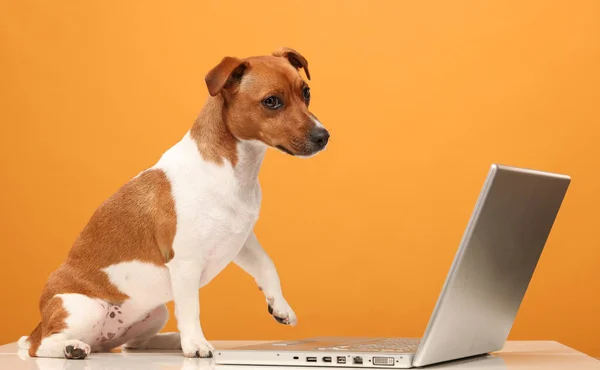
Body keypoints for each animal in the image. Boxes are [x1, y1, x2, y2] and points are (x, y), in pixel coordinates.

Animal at [18, 47, 330, 360]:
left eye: (306, 93)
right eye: (272, 101)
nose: (323, 136)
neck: (234, 171)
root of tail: (41, 323)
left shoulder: (241, 241)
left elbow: (267, 265)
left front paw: (280, 306)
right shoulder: (186, 263)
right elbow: (191, 309)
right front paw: (196, 345)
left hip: (154, 315)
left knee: (130, 344)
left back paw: (170, 340)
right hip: (84, 308)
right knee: (41, 346)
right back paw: (72, 348)